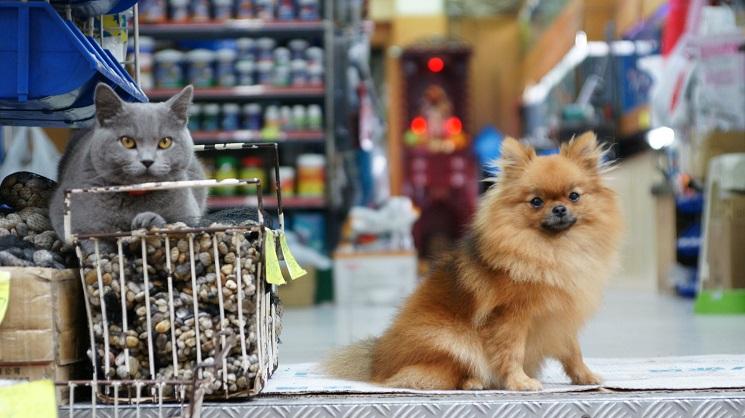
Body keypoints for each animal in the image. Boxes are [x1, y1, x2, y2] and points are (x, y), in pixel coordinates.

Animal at [49, 84, 206, 242]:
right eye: (127, 141)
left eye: (165, 142)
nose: (147, 161)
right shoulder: (74, 221)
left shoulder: (188, 214)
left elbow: (180, 223)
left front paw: (147, 219)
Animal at [326, 132, 620, 390]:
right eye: (536, 201)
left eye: (574, 196)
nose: (559, 208)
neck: (553, 250)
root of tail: (377, 363)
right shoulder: (511, 318)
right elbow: (512, 352)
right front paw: (520, 382)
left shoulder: (562, 316)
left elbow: (573, 352)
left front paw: (586, 377)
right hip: (451, 338)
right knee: (435, 374)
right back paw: (474, 382)